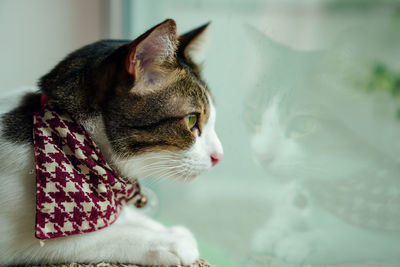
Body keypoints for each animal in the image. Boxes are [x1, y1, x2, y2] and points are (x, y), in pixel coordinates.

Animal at [244, 24, 400, 266]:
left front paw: (303, 242)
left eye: (304, 124)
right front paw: (275, 229)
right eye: (254, 118)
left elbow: (359, 235)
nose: (262, 157)